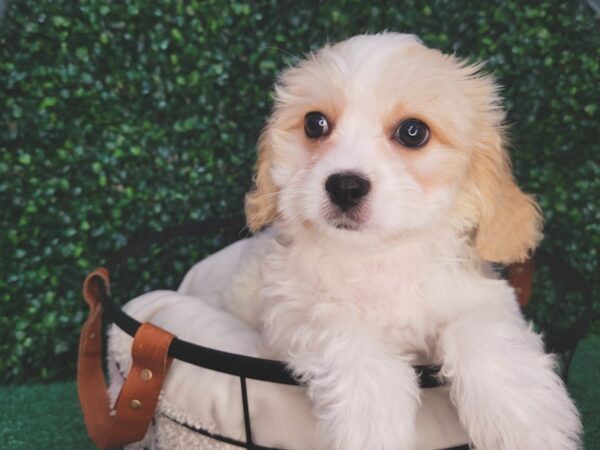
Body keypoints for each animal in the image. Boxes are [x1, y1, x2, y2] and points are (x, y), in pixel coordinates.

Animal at [214, 33, 576, 448]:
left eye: (413, 132)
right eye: (315, 124)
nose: (345, 186)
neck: (378, 256)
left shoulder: (479, 296)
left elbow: (484, 335)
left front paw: (524, 426)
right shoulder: (291, 312)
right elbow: (343, 332)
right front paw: (373, 424)